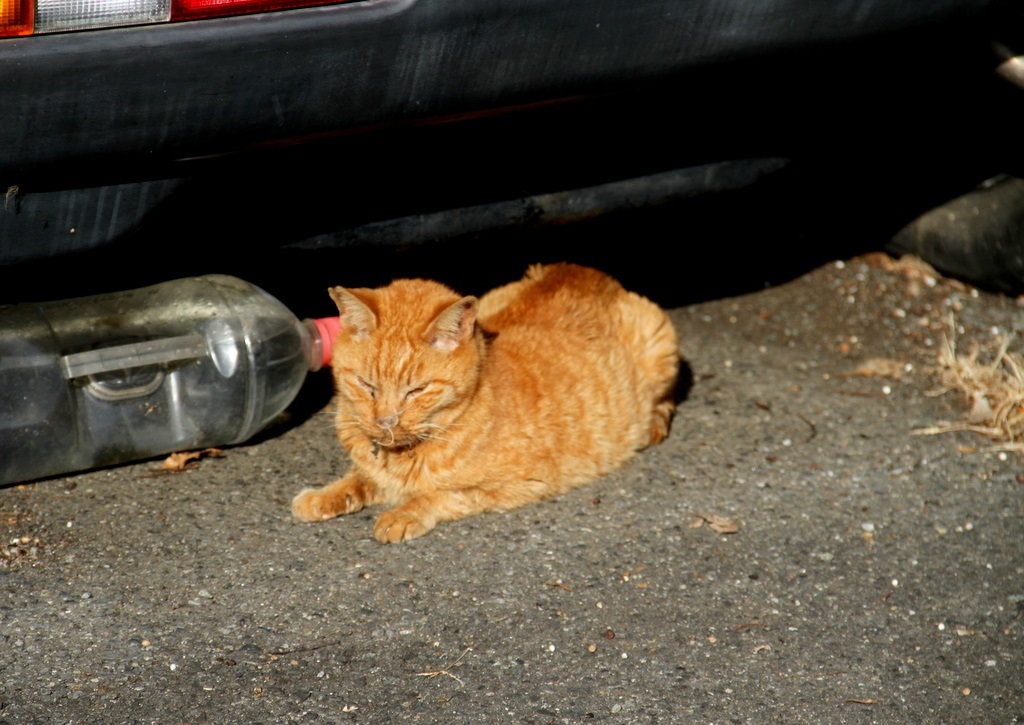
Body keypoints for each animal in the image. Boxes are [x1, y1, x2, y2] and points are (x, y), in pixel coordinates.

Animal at [290, 264, 679, 540]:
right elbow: (357, 478)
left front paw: (403, 513)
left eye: (416, 391)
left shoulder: (517, 485)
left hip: (659, 342)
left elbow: (442, 494)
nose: (385, 421)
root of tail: (583, 270)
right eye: (367, 385)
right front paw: (323, 496)